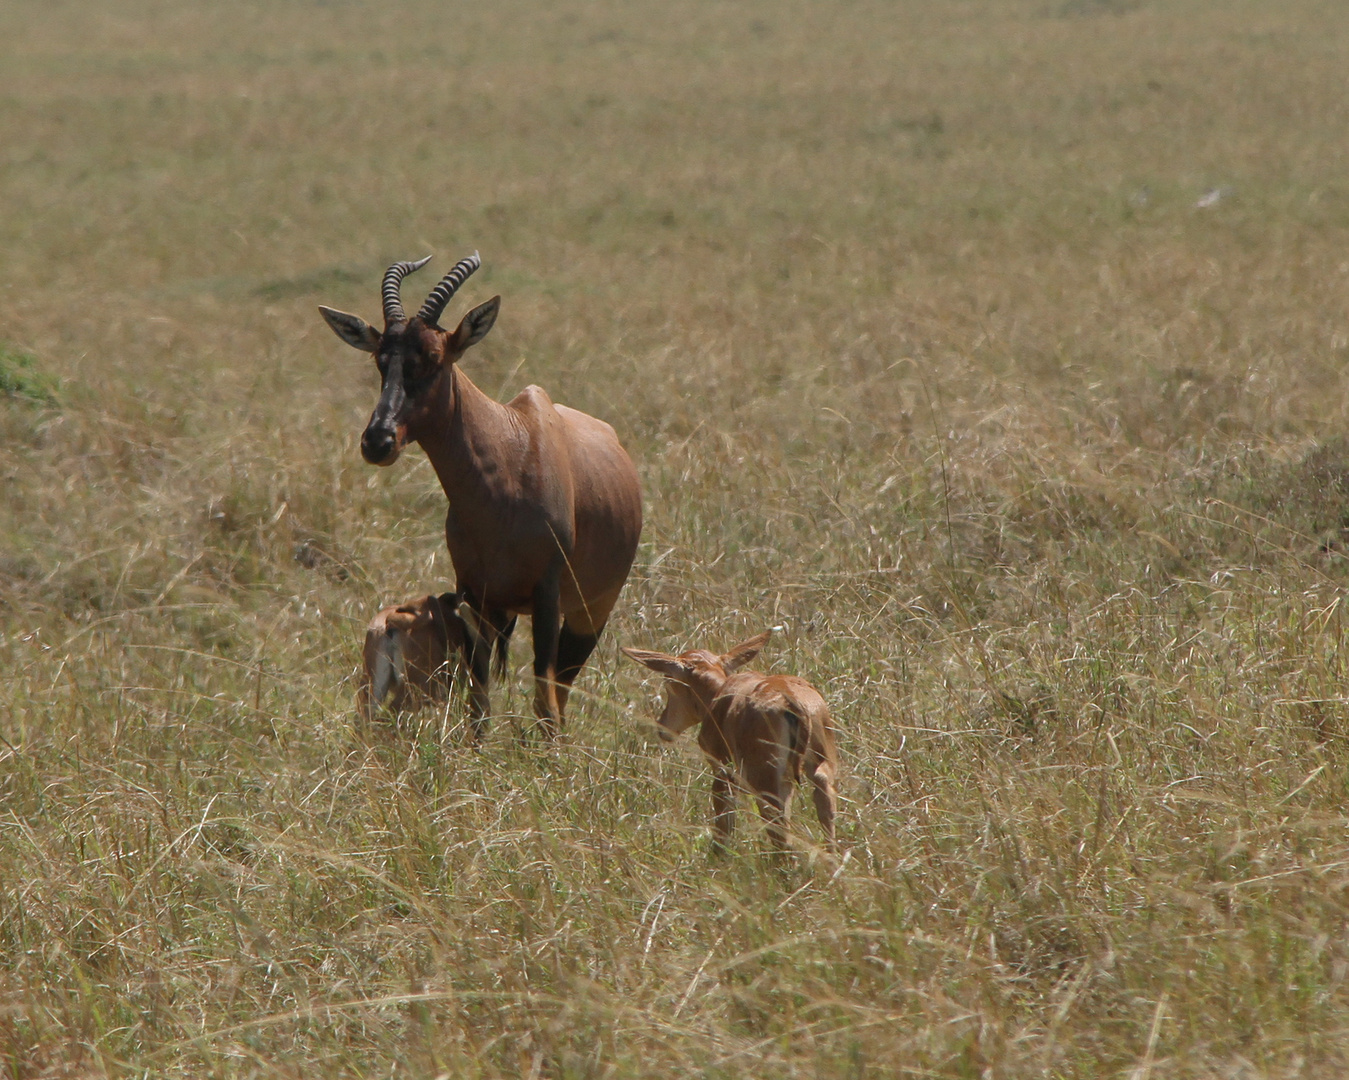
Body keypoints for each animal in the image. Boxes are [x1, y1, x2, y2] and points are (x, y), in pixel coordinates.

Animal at [323, 253, 644, 738]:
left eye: (434, 357)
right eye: (381, 360)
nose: (378, 441)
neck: (510, 459)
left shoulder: (548, 593)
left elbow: (543, 691)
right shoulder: (473, 593)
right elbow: (479, 698)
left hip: (591, 611)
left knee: (562, 687)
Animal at [623, 628, 836, 857]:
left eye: (669, 681)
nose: (663, 726)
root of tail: (791, 702)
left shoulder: (722, 770)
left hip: (768, 778)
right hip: (818, 764)